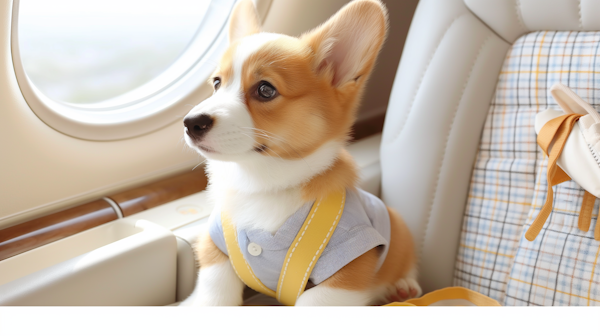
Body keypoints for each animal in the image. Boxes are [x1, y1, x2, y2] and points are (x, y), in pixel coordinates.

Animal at [180, 0, 420, 306]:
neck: (261, 185)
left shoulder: (348, 270)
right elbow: (215, 291)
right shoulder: (216, 246)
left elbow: (311, 301)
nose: (190, 123)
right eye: (217, 84)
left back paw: (403, 287)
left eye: (265, 89)